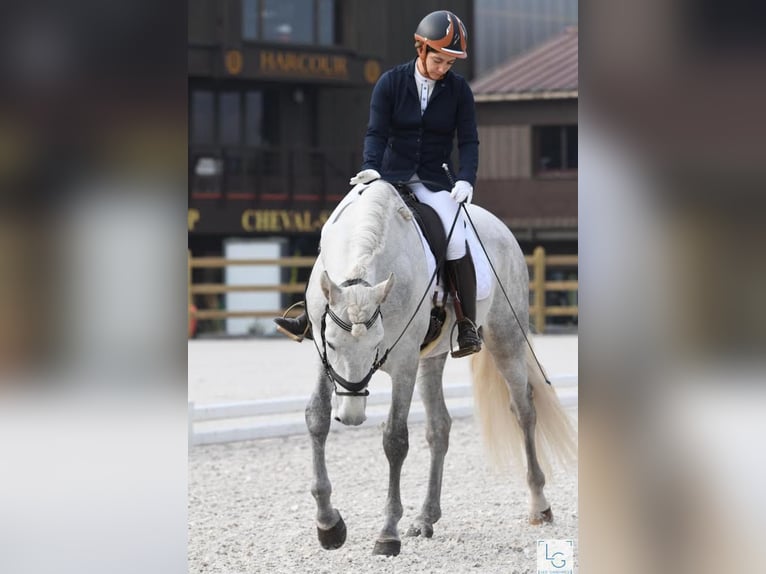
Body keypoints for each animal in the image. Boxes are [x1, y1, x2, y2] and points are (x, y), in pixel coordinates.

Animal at [303, 179, 576, 556]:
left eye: (376, 347)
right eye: (331, 344)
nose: (354, 415)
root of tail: (497, 224)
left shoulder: (403, 360)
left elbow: (395, 439)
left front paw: (387, 534)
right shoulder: (322, 355)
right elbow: (317, 419)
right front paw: (328, 525)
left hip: (505, 336)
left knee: (523, 410)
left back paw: (539, 506)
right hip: (430, 358)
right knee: (439, 427)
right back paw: (425, 518)